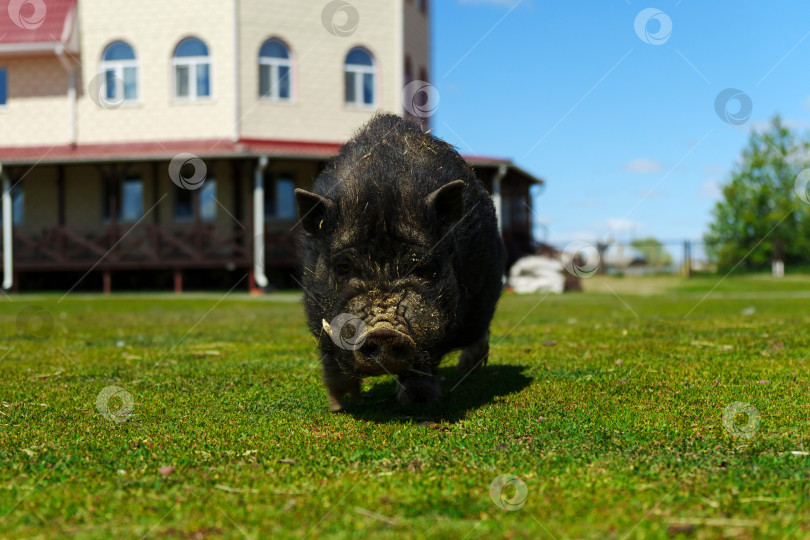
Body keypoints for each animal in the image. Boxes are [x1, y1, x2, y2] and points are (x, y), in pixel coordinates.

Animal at [294, 113, 502, 410]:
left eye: (422, 265)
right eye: (343, 267)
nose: (383, 332)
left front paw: (417, 402)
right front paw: (340, 405)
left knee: (479, 331)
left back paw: (468, 369)